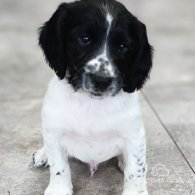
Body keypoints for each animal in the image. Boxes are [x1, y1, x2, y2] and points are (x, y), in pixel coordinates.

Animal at [32, 0, 153, 195]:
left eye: (123, 46)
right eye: (84, 39)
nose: (101, 80)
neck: (91, 103)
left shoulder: (133, 135)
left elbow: (136, 170)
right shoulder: (54, 131)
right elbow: (58, 166)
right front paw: (59, 189)